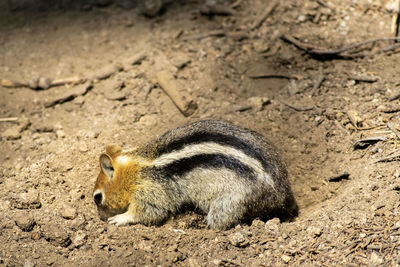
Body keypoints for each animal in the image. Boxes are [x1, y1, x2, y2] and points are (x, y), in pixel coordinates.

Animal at [93, 121, 296, 230]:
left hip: (231, 204)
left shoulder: (150, 190)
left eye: (97, 197)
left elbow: (149, 211)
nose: (100, 218)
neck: (135, 169)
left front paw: (120, 218)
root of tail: (282, 194)